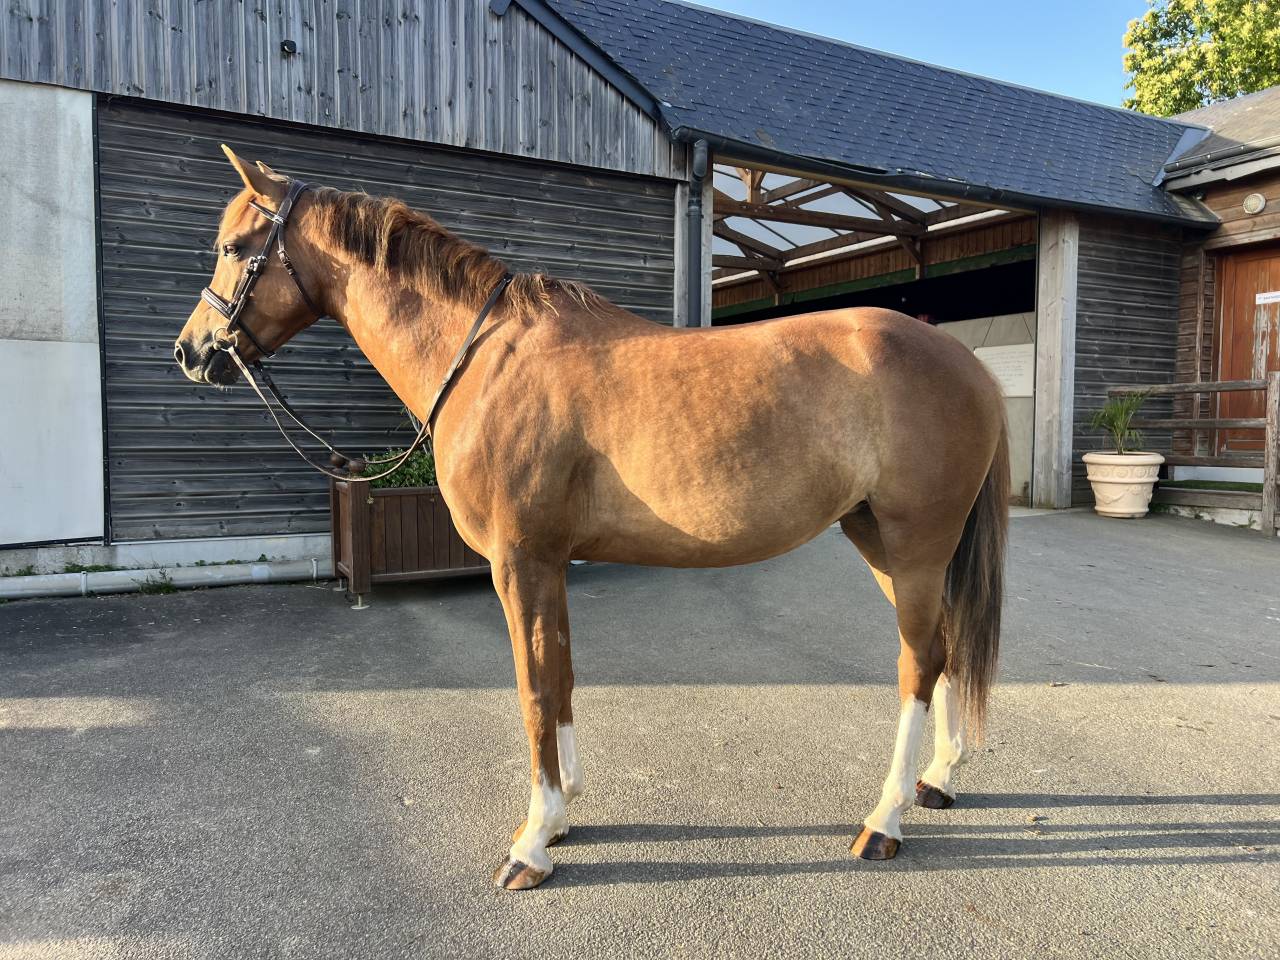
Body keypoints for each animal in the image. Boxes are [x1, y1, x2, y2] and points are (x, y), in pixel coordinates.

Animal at [174, 147, 1009, 890]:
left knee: (918, 662)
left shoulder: (520, 560)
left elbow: (536, 687)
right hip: (878, 540)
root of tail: (967, 363)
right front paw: (564, 809)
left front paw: (533, 842)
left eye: (235, 247)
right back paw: (938, 778)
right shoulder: (548, 561)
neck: (485, 360)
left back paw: (885, 821)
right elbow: (563, 674)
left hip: (915, 541)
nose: (192, 350)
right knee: (943, 647)